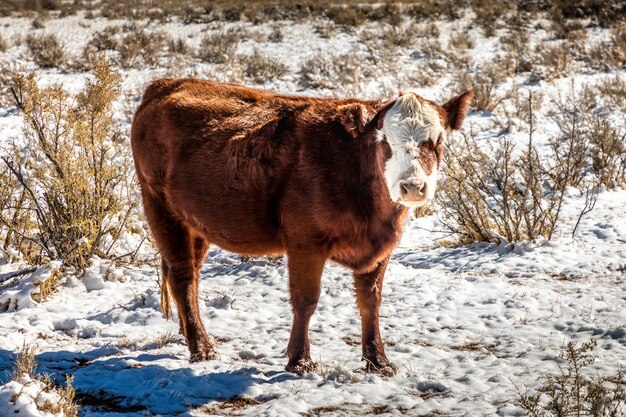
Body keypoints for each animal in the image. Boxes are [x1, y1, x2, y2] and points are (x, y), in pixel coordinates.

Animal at [133, 78, 472, 374]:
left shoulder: (380, 250)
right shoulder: (305, 243)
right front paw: (300, 360)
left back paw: (188, 333)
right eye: (384, 141)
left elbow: (371, 302)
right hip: (161, 208)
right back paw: (200, 346)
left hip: (195, 223)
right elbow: (306, 300)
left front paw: (378, 360)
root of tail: (166, 84)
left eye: (438, 141)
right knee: (183, 276)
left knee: (188, 277)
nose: (413, 187)